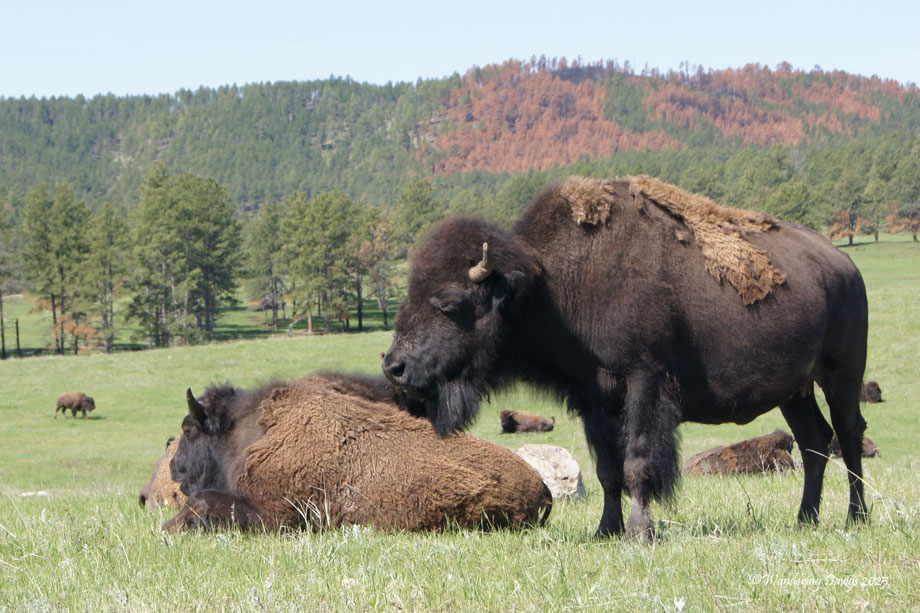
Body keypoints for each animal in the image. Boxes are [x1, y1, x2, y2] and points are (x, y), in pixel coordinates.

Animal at [383, 175, 869, 539]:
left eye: (449, 302)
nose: (394, 367)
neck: (551, 286)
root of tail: (843, 265)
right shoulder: (594, 399)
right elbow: (607, 469)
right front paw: (605, 530)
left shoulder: (644, 383)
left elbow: (637, 461)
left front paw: (641, 532)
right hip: (795, 390)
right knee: (813, 441)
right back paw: (805, 519)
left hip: (841, 376)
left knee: (847, 436)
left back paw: (856, 517)